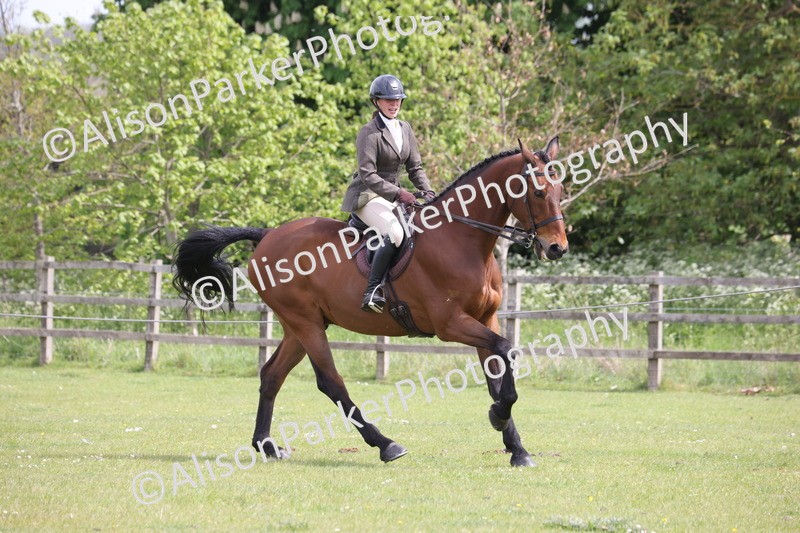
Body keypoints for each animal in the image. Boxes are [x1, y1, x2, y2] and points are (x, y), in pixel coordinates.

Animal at [172, 136, 568, 467]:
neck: (462, 239)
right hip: (305, 323)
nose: (557, 249)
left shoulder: (485, 319)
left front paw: (516, 447)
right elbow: (506, 351)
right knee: (330, 382)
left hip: (299, 325)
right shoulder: (450, 324)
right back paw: (385, 444)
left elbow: (497, 370)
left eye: (561, 188)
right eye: (537, 192)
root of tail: (268, 234)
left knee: (271, 375)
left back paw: (267, 446)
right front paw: (499, 415)